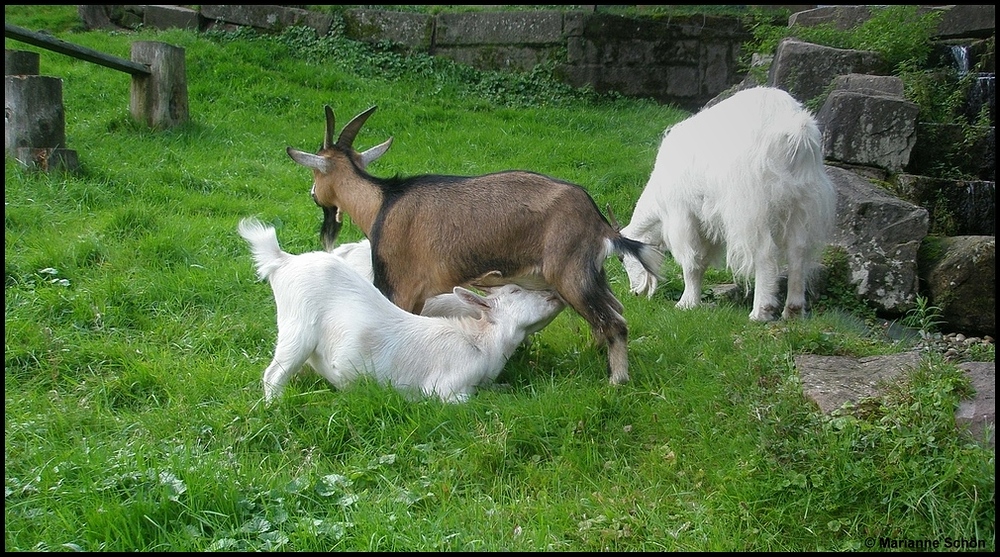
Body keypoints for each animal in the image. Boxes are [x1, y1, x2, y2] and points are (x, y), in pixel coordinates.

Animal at [288, 104, 664, 384]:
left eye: (316, 172)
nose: (312, 194)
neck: (383, 202)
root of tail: (598, 222)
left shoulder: (399, 286)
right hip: (593, 274)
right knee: (614, 312)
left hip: (572, 275)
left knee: (614, 323)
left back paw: (616, 380)